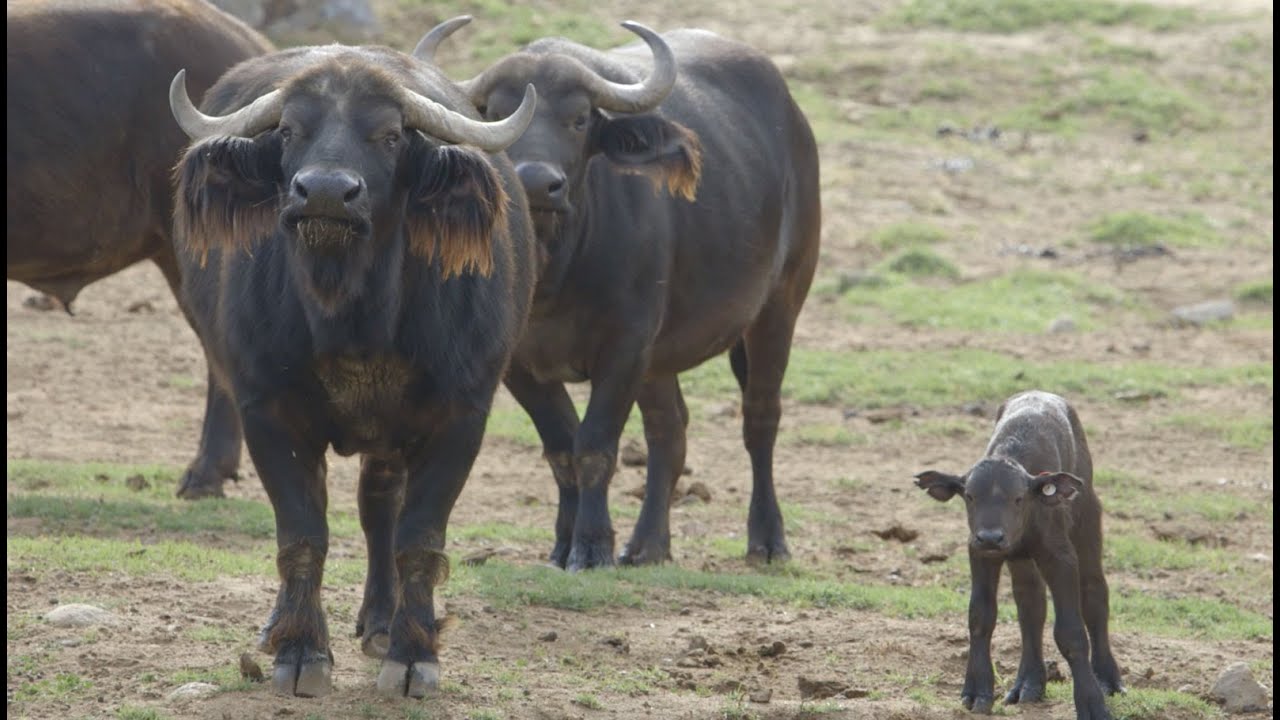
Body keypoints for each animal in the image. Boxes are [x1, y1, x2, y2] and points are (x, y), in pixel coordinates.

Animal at [167, 40, 538, 696]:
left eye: (389, 135)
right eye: (290, 130)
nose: (322, 193)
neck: (352, 315)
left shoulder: (462, 415)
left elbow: (418, 540)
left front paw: (414, 657)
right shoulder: (267, 412)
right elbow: (302, 535)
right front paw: (301, 652)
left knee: (379, 510)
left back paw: (383, 623)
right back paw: (282, 625)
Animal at [420, 18, 821, 570]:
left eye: (579, 118)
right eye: (496, 115)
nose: (538, 184)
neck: (556, 274)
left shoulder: (626, 346)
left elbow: (594, 446)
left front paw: (591, 547)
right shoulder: (518, 362)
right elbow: (561, 448)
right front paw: (564, 543)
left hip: (781, 303)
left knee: (760, 416)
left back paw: (767, 540)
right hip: (661, 356)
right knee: (669, 430)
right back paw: (648, 543)